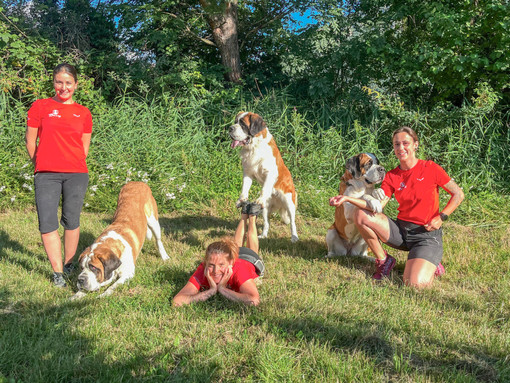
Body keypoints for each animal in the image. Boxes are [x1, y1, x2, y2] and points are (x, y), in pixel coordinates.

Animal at [228, 112, 298, 242]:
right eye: (235, 121)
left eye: (243, 124)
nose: (230, 128)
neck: (254, 147)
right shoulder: (247, 173)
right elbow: (244, 188)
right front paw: (241, 200)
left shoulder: (270, 173)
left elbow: (265, 188)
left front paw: (259, 198)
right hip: (265, 209)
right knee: (266, 222)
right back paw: (263, 235)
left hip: (289, 202)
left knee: (292, 222)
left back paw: (294, 237)